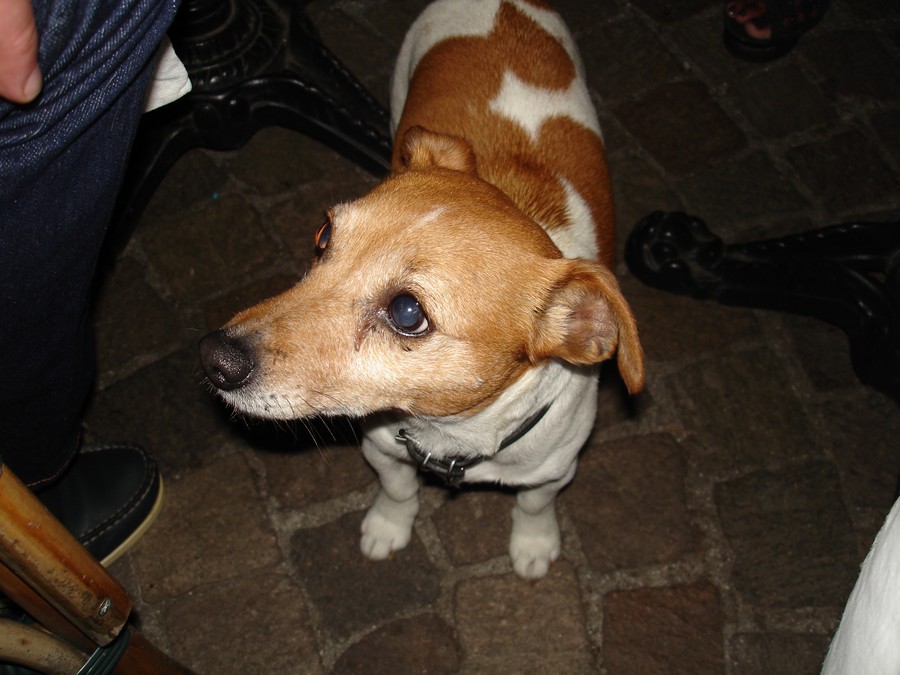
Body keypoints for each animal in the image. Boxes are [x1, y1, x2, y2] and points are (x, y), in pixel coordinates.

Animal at [199, 0, 644, 579]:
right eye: (323, 236)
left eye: (408, 312)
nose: (214, 357)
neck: (451, 432)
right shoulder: (383, 448)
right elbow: (398, 490)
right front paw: (389, 527)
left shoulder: (552, 471)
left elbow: (533, 504)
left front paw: (533, 543)